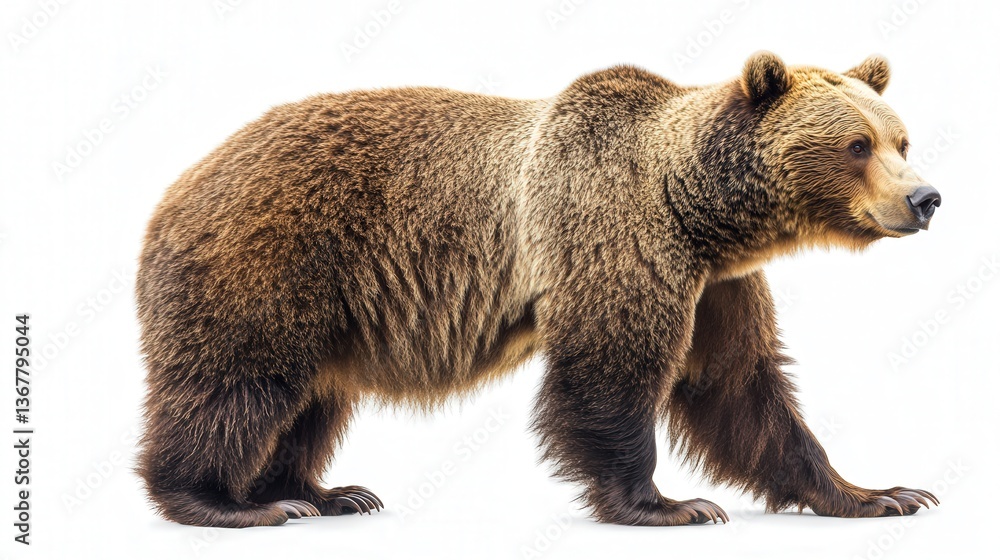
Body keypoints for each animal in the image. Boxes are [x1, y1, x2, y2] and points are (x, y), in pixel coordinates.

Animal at [136, 51, 941, 528]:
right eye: (856, 145)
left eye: (900, 138)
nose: (926, 198)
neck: (698, 212)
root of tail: (177, 186)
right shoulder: (615, 234)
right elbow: (611, 370)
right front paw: (671, 504)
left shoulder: (719, 283)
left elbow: (738, 383)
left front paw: (882, 493)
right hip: (272, 258)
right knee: (239, 383)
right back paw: (225, 501)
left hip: (329, 304)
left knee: (311, 400)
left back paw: (326, 493)